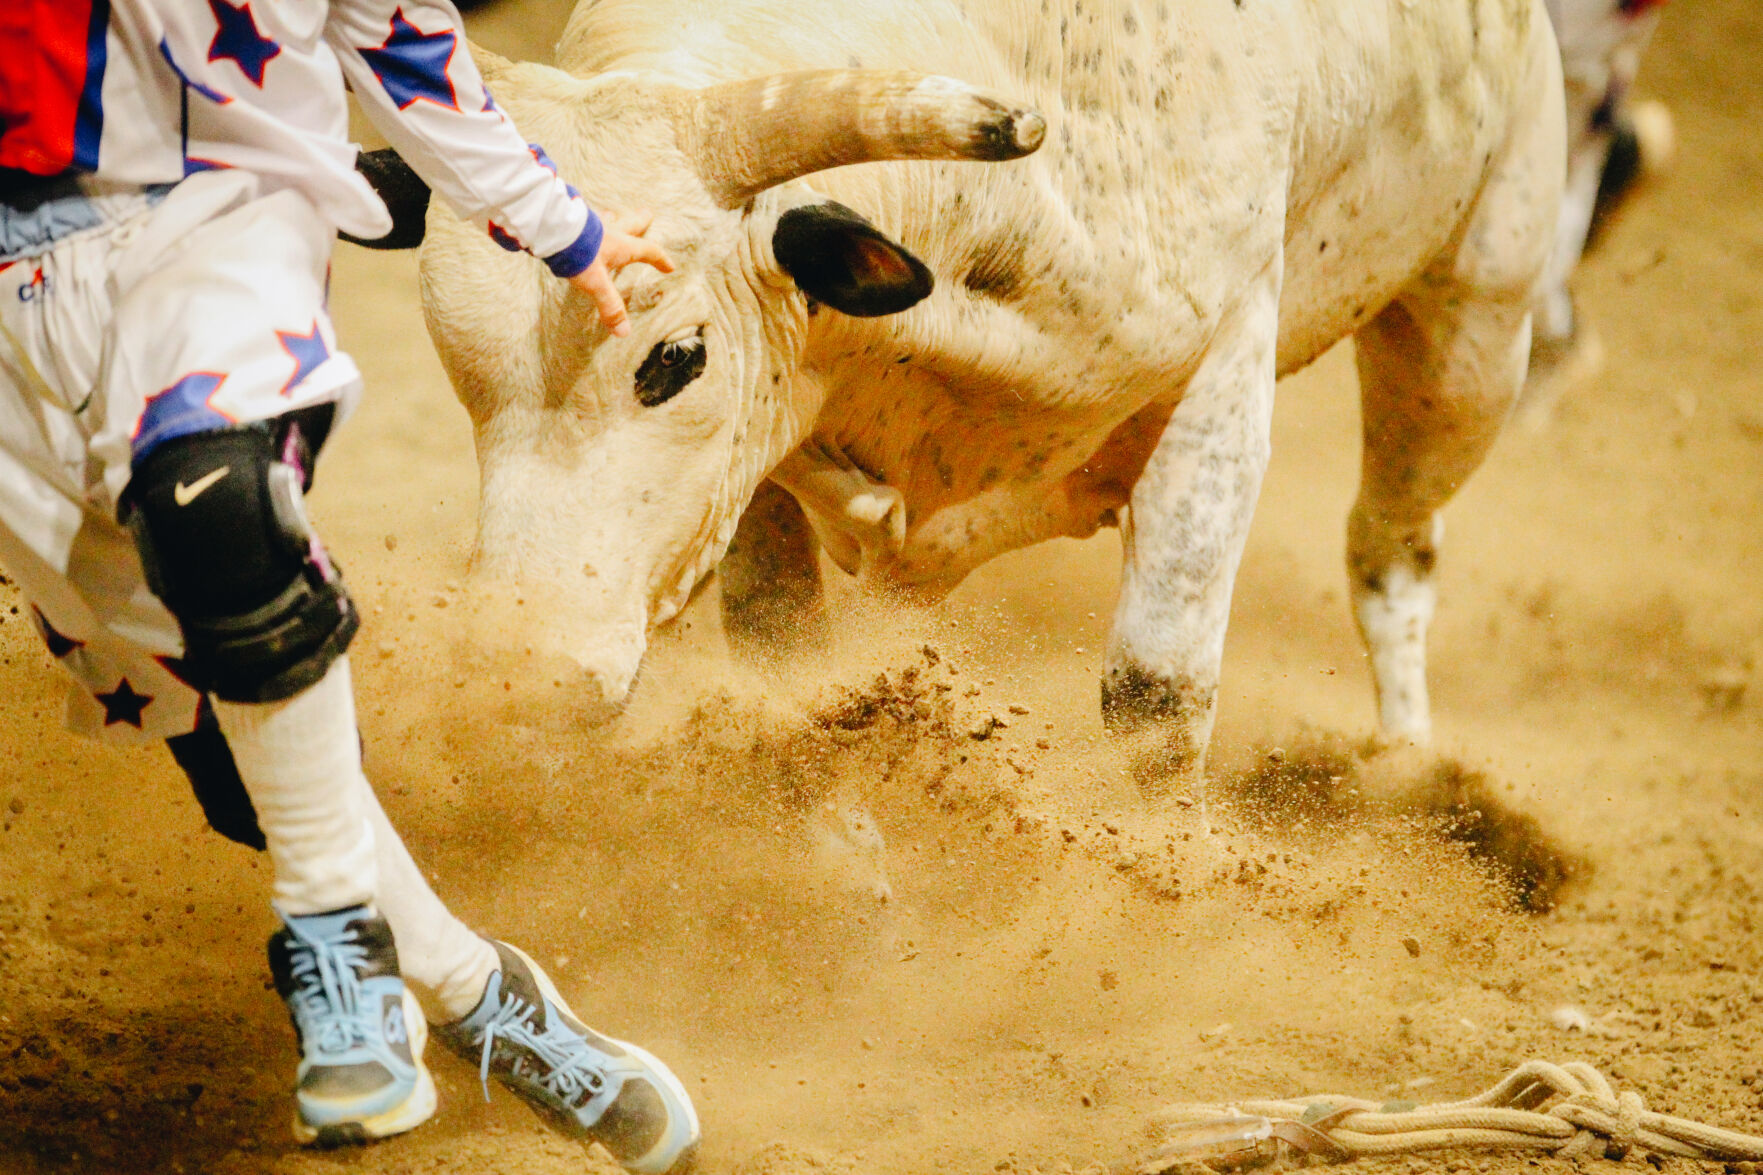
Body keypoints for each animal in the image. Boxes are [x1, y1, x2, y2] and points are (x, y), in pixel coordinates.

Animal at [416, 0, 1572, 790]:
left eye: (675, 356)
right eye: (458, 365)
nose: (517, 678)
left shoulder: (1220, 379)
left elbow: (1155, 704)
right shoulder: (762, 473)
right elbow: (791, 663)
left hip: (1471, 330)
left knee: (1393, 545)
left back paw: (1402, 768)